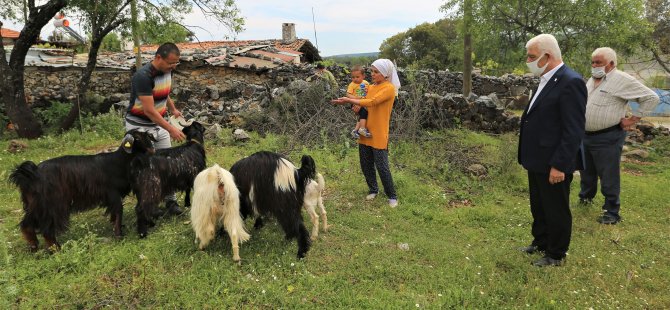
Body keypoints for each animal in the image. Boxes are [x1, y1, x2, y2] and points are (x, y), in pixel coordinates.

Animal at [9, 130, 157, 251]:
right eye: (137, 137)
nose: (152, 150)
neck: (118, 161)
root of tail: (31, 174)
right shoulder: (112, 194)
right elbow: (118, 212)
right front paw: (118, 234)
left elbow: (114, 214)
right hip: (52, 204)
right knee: (46, 229)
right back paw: (56, 249)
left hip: (36, 204)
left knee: (27, 224)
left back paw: (34, 245)